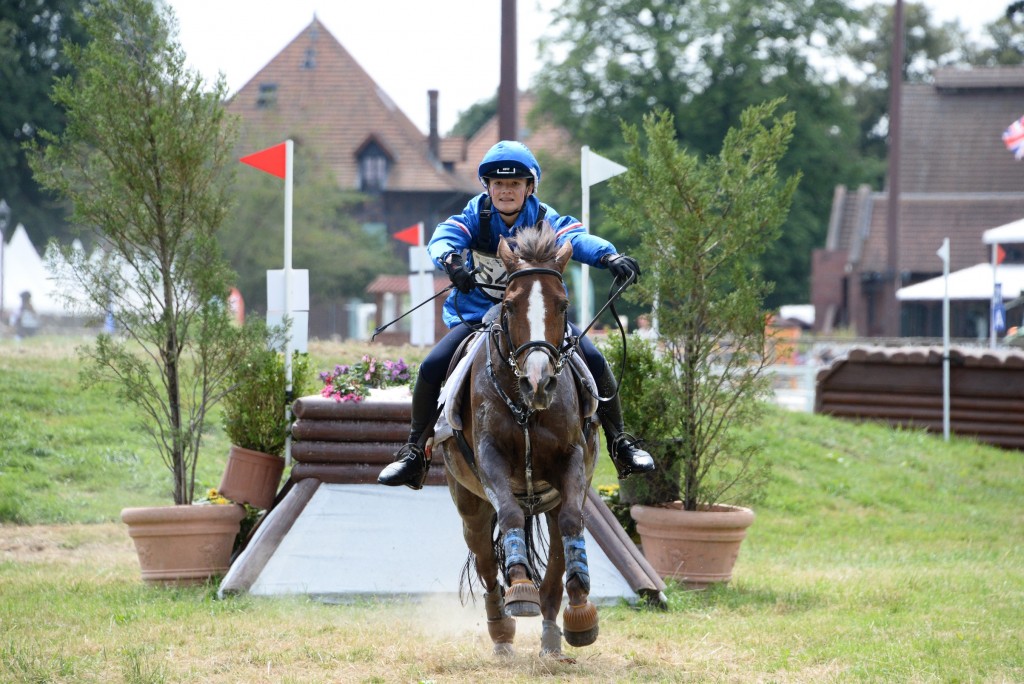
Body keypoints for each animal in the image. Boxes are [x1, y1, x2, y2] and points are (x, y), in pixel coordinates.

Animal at [432, 223, 598, 655]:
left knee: (556, 556)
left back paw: (554, 636)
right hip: (469, 504)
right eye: (508, 305)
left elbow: (572, 524)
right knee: (486, 563)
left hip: (549, 503)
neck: (527, 407)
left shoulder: (572, 460)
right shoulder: (490, 459)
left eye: (563, 305)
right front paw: (521, 586)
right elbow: (506, 515)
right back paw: (501, 629)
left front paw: (580, 605)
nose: (539, 382)